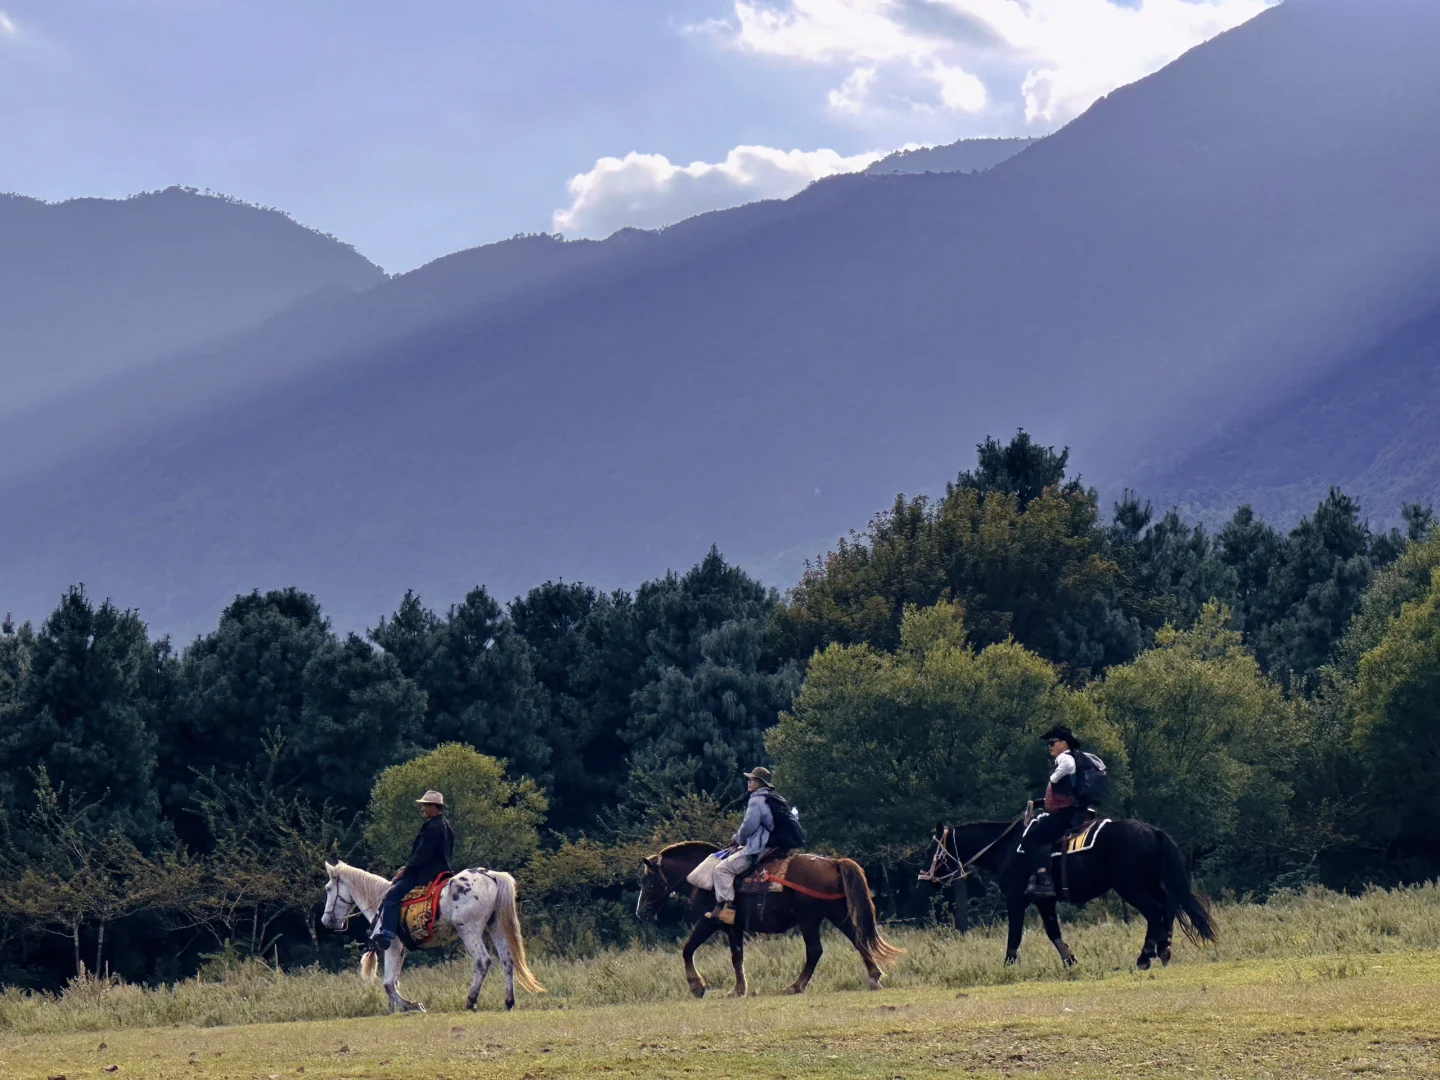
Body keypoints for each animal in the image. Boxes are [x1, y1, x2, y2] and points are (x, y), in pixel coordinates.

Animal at [322, 864, 544, 1013]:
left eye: (328, 888)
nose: (326, 921)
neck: (381, 903)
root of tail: (490, 875)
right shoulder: (400, 950)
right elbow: (394, 981)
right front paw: (396, 1010)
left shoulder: (392, 946)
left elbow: (388, 983)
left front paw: (412, 1005)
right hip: (495, 927)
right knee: (507, 961)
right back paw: (508, 1002)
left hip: (469, 929)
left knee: (483, 961)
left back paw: (470, 1001)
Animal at [639, 840, 898, 1002]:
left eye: (647, 880)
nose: (641, 912)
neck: (702, 877)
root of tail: (832, 862)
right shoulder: (733, 927)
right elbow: (736, 957)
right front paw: (738, 989)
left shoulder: (710, 922)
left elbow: (688, 949)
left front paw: (697, 986)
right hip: (838, 915)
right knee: (859, 940)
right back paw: (874, 976)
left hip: (809, 920)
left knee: (815, 950)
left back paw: (795, 986)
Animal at [921, 817, 1215, 973]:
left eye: (933, 850)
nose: (923, 878)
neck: (1007, 848)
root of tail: (1153, 831)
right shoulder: (1045, 902)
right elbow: (1054, 933)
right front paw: (1071, 961)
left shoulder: (1016, 900)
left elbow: (1015, 934)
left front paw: (1008, 965)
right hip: (1150, 886)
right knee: (1168, 913)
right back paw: (1163, 951)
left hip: (1132, 888)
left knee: (1155, 913)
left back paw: (1145, 957)